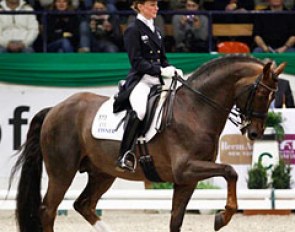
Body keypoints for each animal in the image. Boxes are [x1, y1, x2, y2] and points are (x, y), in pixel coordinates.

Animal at [11, 55, 286, 232]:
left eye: (274, 95)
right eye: (262, 93)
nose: (255, 132)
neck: (195, 109)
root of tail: (55, 109)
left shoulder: (186, 180)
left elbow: (176, 221)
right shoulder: (185, 169)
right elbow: (230, 171)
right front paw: (222, 217)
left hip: (102, 173)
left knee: (83, 205)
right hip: (62, 171)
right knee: (48, 210)